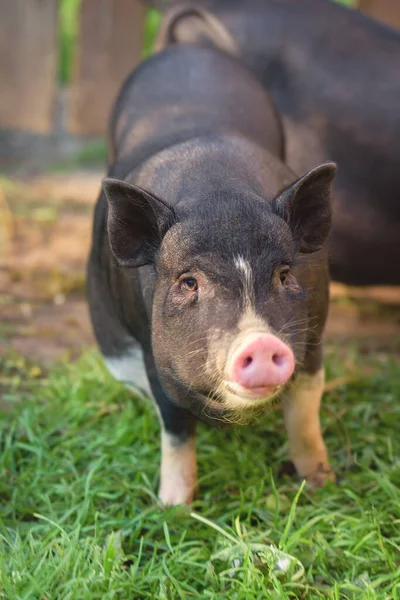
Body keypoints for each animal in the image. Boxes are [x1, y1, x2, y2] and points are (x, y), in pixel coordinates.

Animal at [86, 47, 334, 504]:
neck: (219, 190)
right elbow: (175, 429)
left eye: (284, 274)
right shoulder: (153, 355)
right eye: (189, 282)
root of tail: (183, 49)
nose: (260, 342)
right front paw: (173, 507)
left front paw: (322, 483)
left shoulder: (314, 334)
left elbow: (305, 408)